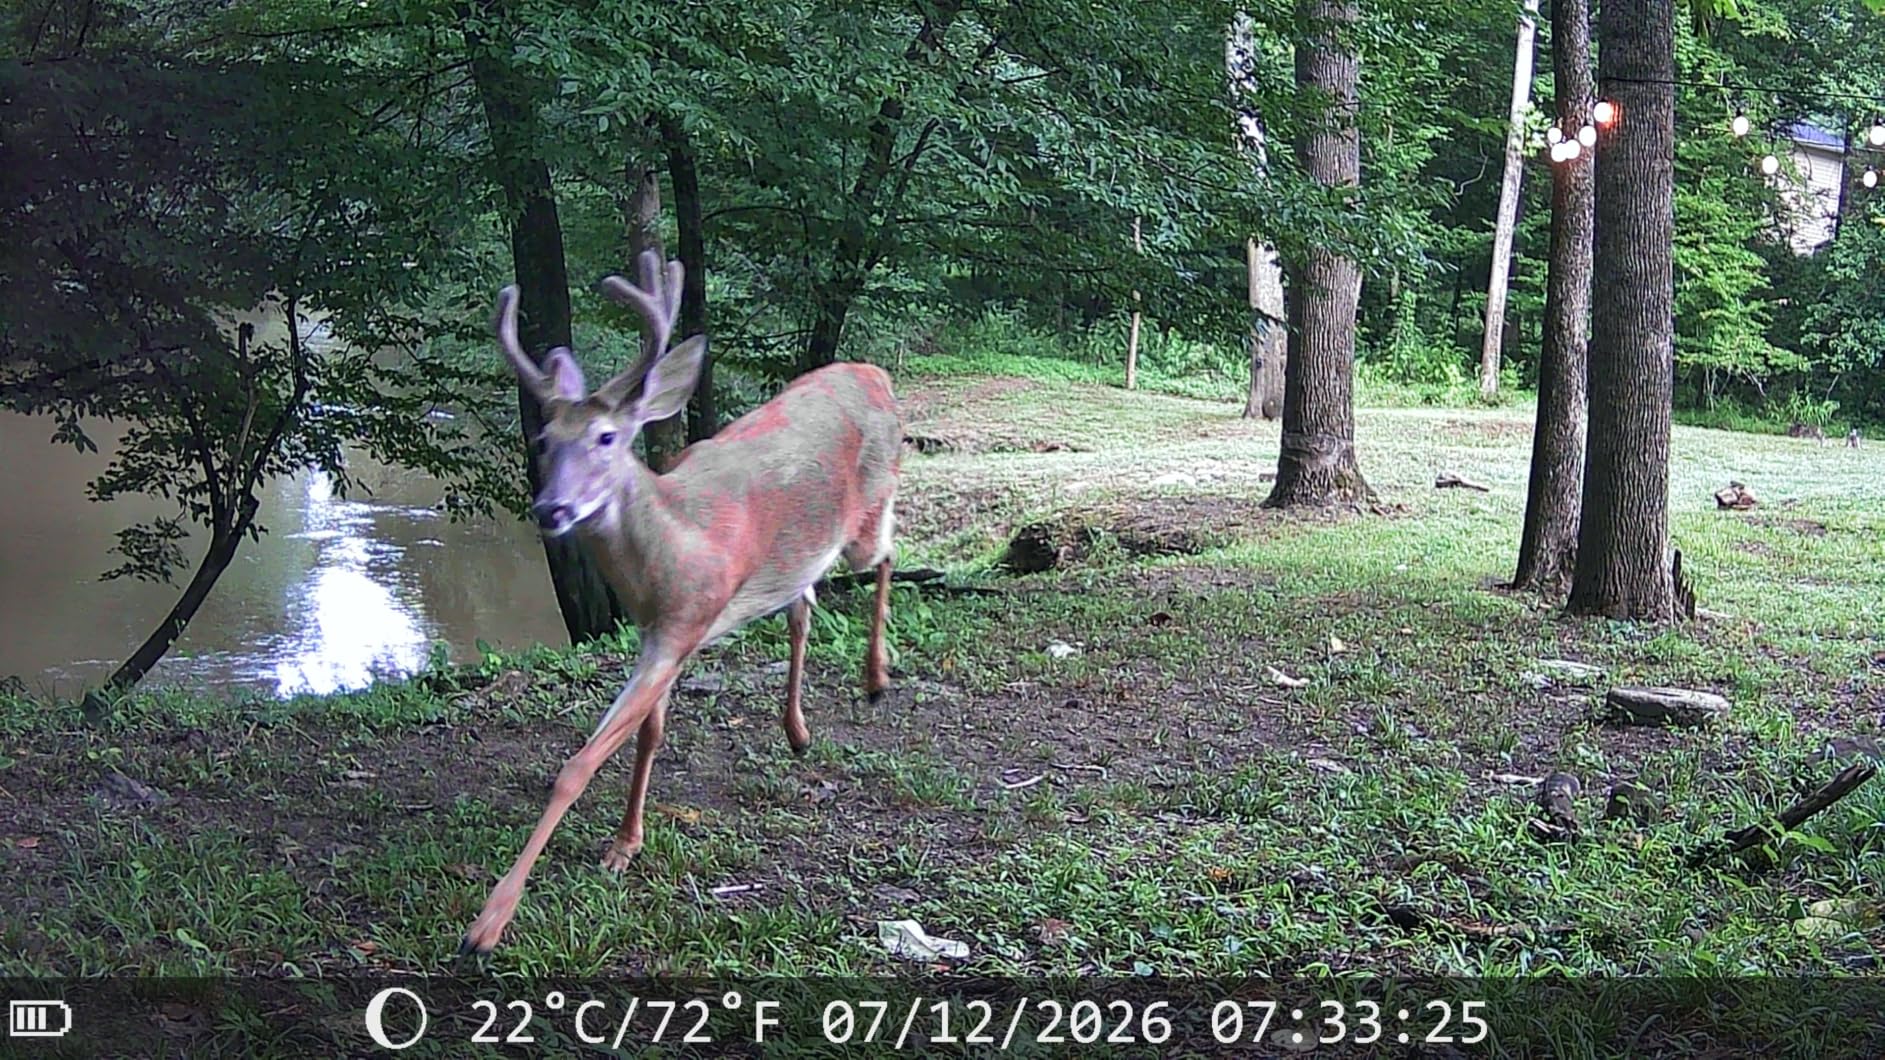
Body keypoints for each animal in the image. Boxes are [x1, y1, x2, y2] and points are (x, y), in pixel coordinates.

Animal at [459, 251, 903, 956]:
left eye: (607, 437)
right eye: (543, 440)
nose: (551, 508)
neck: (670, 551)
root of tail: (877, 373)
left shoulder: (684, 625)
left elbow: (579, 764)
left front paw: (488, 923)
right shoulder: (656, 630)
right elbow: (650, 733)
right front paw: (624, 845)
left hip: (871, 507)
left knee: (888, 552)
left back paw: (876, 677)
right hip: (796, 556)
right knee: (803, 602)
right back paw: (797, 730)